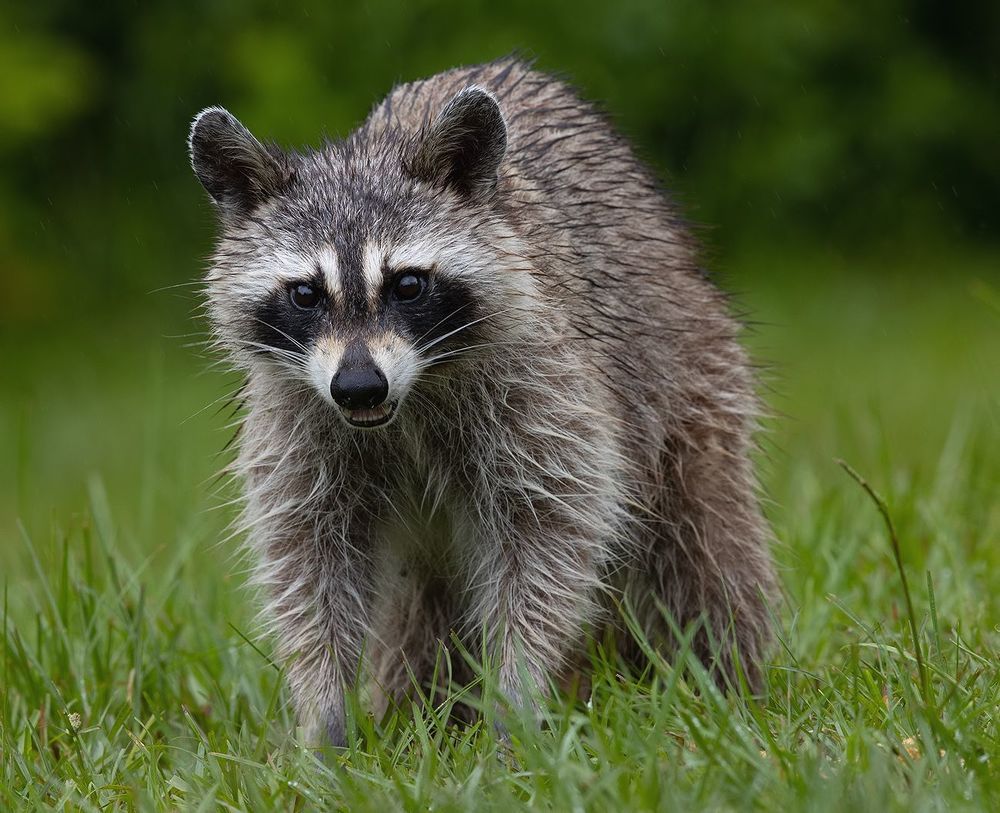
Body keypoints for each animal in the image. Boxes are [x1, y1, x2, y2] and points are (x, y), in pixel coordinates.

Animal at [189, 58, 777, 746]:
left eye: (408, 284)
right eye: (306, 294)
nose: (359, 387)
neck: (406, 403)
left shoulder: (542, 387)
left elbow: (550, 537)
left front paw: (515, 695)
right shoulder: (298, 416)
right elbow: (308, 560)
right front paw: (324, 712)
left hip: (689, 369)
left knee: (703, 546)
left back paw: (729, 681)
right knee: (419, 607)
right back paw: (421, 709)